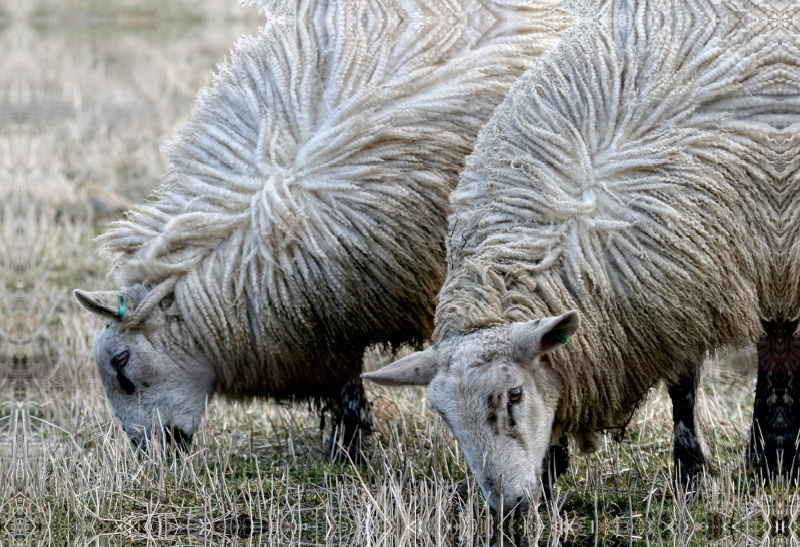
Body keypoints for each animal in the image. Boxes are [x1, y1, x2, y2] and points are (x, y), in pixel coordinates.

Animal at [364, 0, 776, 510]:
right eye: (444, 416)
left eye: (514, 395)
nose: (508, 508)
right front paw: (550, 471)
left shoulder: (683, 289)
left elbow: (683, 388)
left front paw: (691, 473)